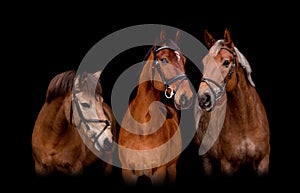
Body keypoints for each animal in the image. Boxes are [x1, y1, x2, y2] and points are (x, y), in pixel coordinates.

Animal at [118, 29, 193, 186]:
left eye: (183, 61)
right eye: (164, 60)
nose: (187, 96)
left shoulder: (159, 172)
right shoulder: (127, 172)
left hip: (172, 167)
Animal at [193, 28, 270, 176]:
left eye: (226, 62)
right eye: (204, 63)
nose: (203, 98)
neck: (246, 123)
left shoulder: (262, 161)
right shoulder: (227, 164)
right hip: (205, 158)